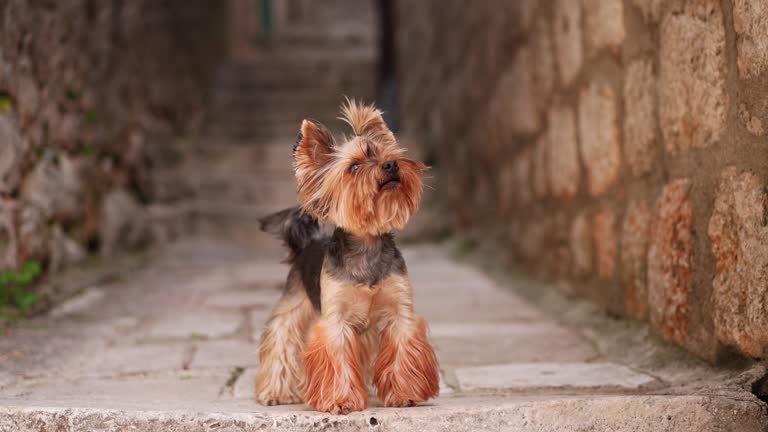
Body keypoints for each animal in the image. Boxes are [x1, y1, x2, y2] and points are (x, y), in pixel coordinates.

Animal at [255, 99, 438, 414]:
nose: (391, 164)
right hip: (294, 301)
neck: (367, 244)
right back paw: (275, 392)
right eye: (354, 166)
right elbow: (336, 357)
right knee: (281, 338)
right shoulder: (336, 321)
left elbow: (401, 349)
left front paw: (405, 394)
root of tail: (309, 241)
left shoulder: (399, 312)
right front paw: (340, 400)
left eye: (387, 154)